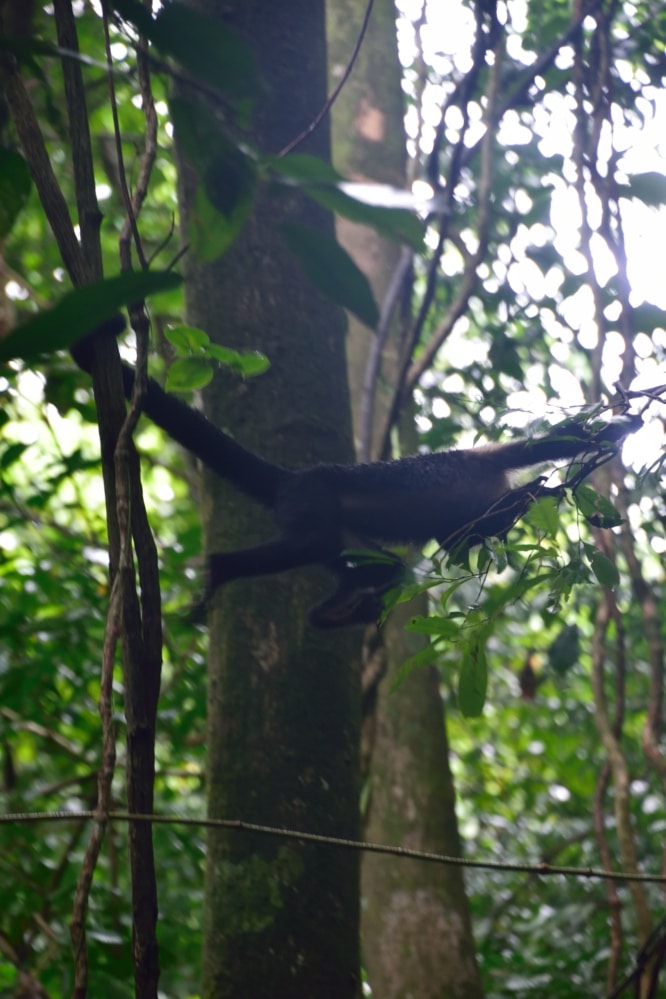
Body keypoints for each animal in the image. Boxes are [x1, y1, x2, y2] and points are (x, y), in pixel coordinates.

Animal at [70, 324, 640, 628]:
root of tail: (293, 478)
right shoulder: (486, 462)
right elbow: (552, 445)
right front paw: (617, 430)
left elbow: (458, 539)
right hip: (311, 505)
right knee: (316, 545)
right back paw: (221, 570)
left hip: (334, 528)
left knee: (381, 568)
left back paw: (338, 612)